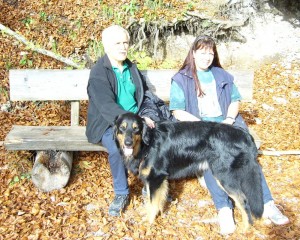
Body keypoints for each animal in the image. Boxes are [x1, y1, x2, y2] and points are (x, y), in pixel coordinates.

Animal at [113, 111, 264, 230]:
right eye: (122, 128)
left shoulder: (156, 177)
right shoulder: (156, 181)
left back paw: (245, 228)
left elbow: (153, 203)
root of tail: (245, 135)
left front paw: (149, 223)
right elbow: (155, 201)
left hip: (224, 176)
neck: (146, 144)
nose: (128, 143)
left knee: (243, 200)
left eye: (136, 129)